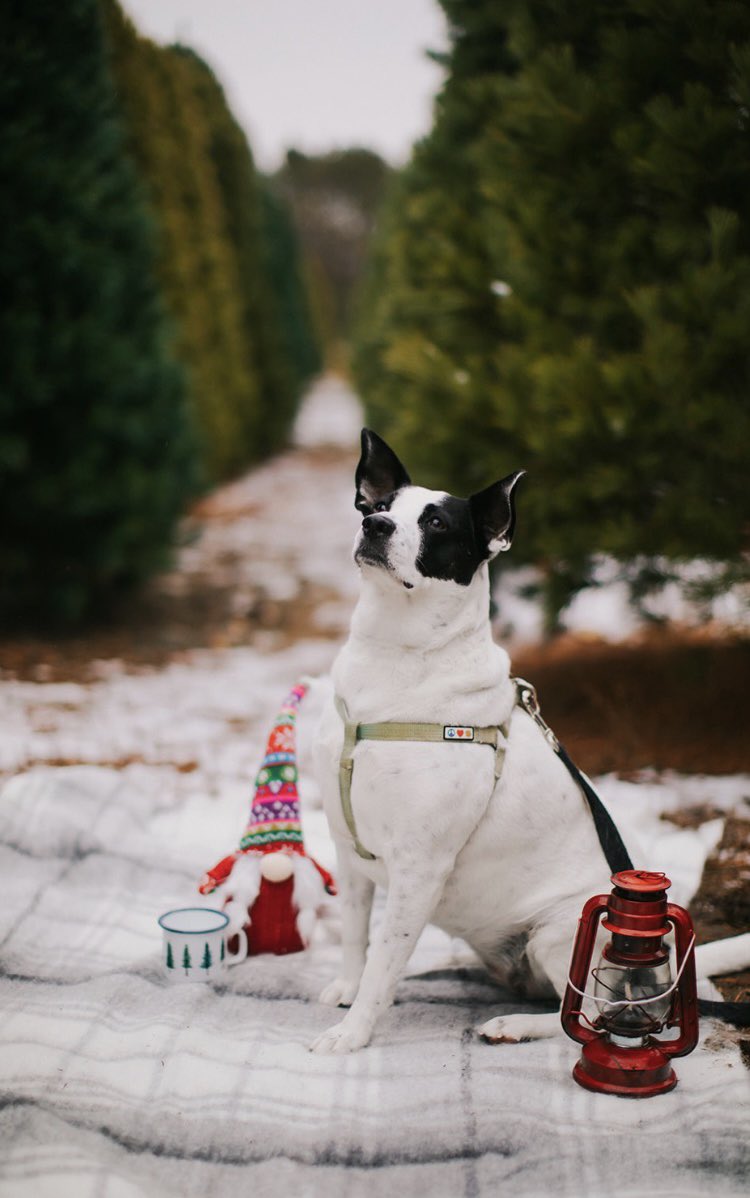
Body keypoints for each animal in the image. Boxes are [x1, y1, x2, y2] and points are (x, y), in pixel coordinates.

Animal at [306, 436, 742, 1054]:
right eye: (379, 505)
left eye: (436, 522)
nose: (377, 526)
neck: (395, 658)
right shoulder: (347, 852)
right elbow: (355, 936)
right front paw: (346, 987)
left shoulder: (420, 866)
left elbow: (383, 961)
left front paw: (353, 1031)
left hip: (562, 931)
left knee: (590, 1015)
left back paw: (516, 1024)